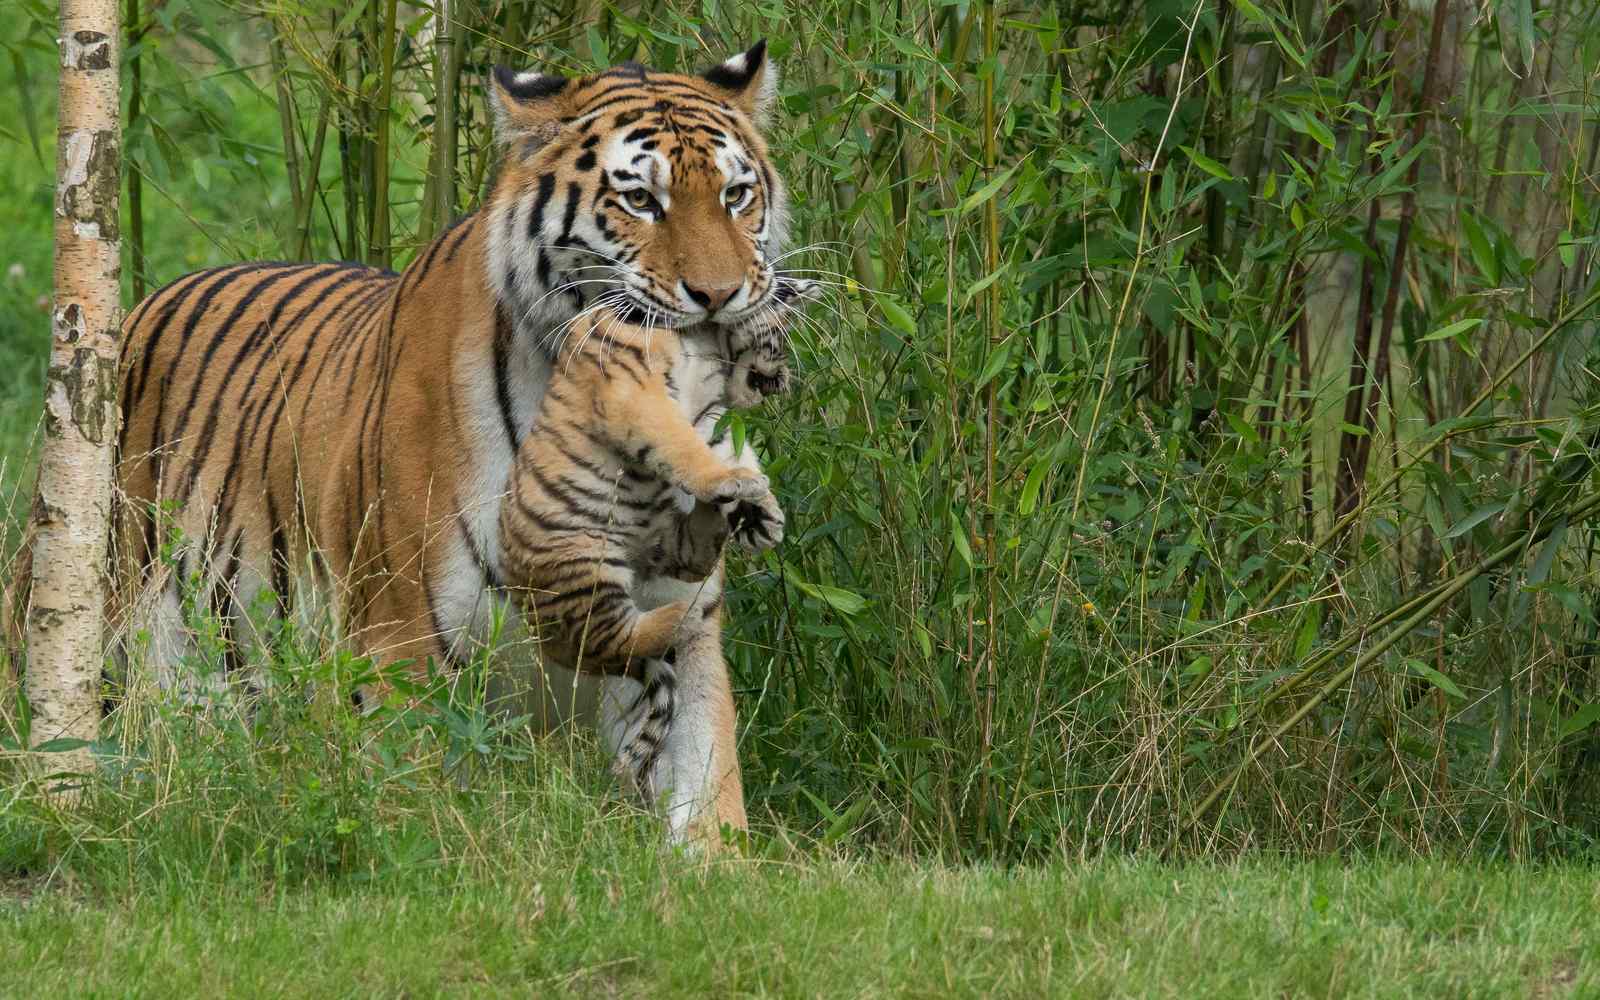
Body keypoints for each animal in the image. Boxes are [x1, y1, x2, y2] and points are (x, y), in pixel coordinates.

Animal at [100, 40, 805, 846]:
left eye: (735, 195)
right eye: (639, 201)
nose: (720, 295)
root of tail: (143, 305)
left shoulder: (682, 626)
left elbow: (707, 789)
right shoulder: (401, 638)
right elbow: (415, 808)